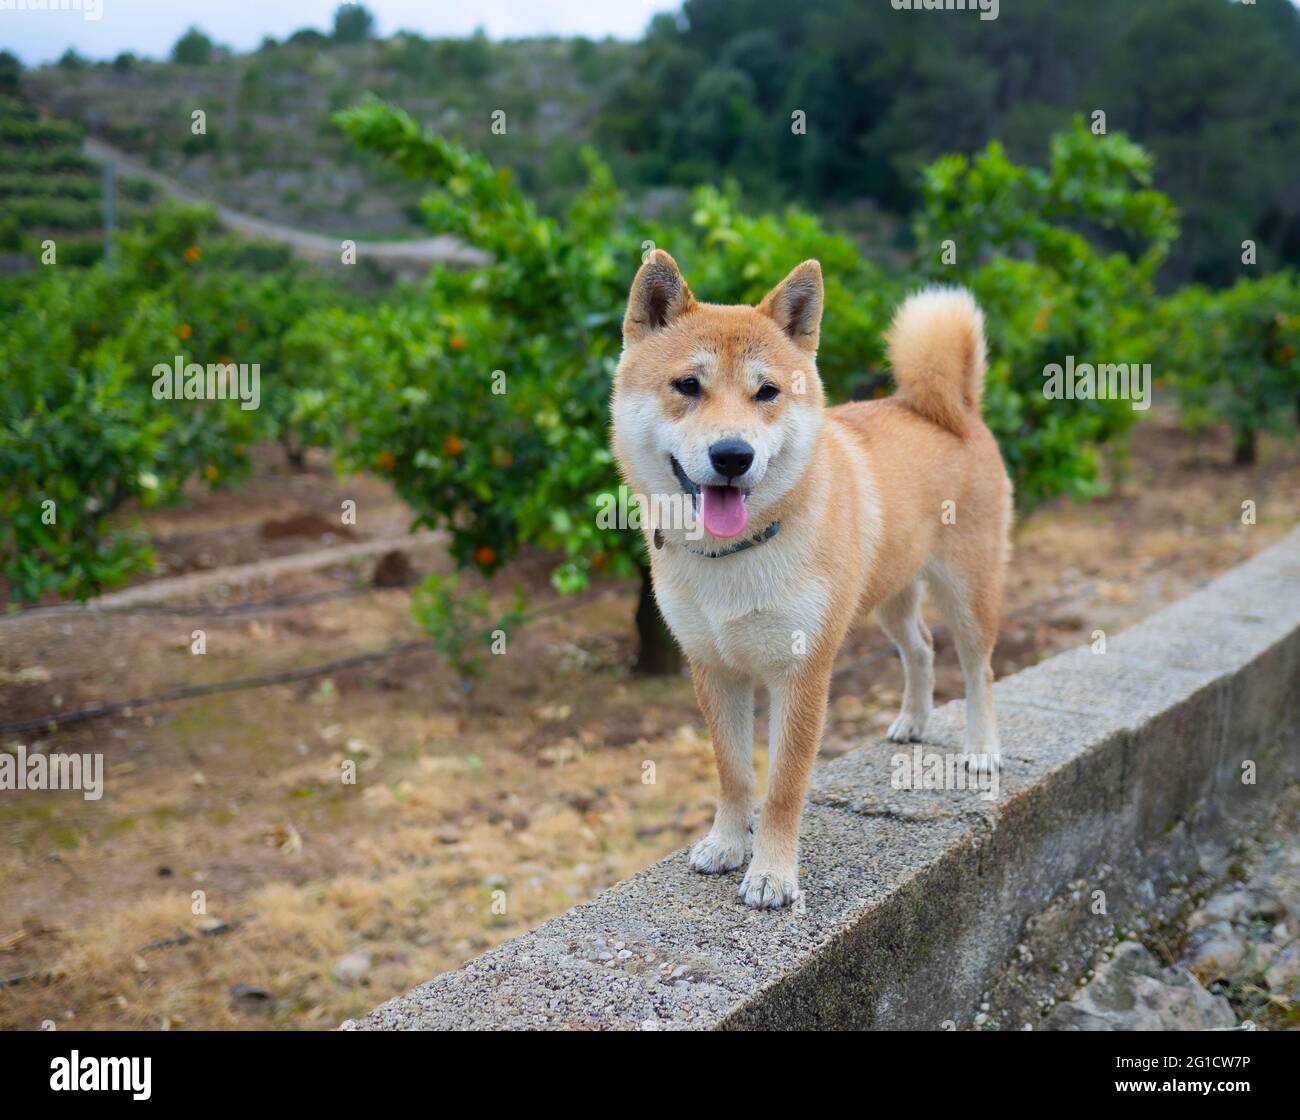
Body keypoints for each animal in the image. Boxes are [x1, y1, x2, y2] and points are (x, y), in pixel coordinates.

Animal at [611, 249, 1013, 909]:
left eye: (767, 392)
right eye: (688, 386)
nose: (732, 455)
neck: (735, 554)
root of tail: (950, 408)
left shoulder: (802, 671)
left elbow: (782, 786)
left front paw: (772, 875)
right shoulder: (712, 668)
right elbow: (732, 772)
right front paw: (726, 844)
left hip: (970, 592)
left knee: (978, 669)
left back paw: (981, 750)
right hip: (889, 596)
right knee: (922, 649)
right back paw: (913, 722)